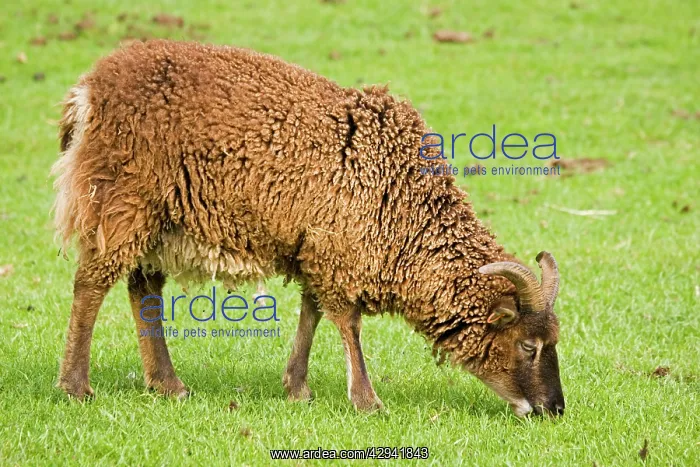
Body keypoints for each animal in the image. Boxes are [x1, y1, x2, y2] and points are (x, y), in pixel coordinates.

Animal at [53, 39, 564, 416]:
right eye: (529, 346)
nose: (554, 408)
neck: (404, 202)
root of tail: (88, 91)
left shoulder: (315, 247)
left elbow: (312, 312)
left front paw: (297, 387)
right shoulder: (338, 250)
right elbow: (347, 323)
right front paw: (367, 400)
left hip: (160, 218)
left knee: (143, 288)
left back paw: (168, 384)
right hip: (120, 199)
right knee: (92, 283)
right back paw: (76, 386)